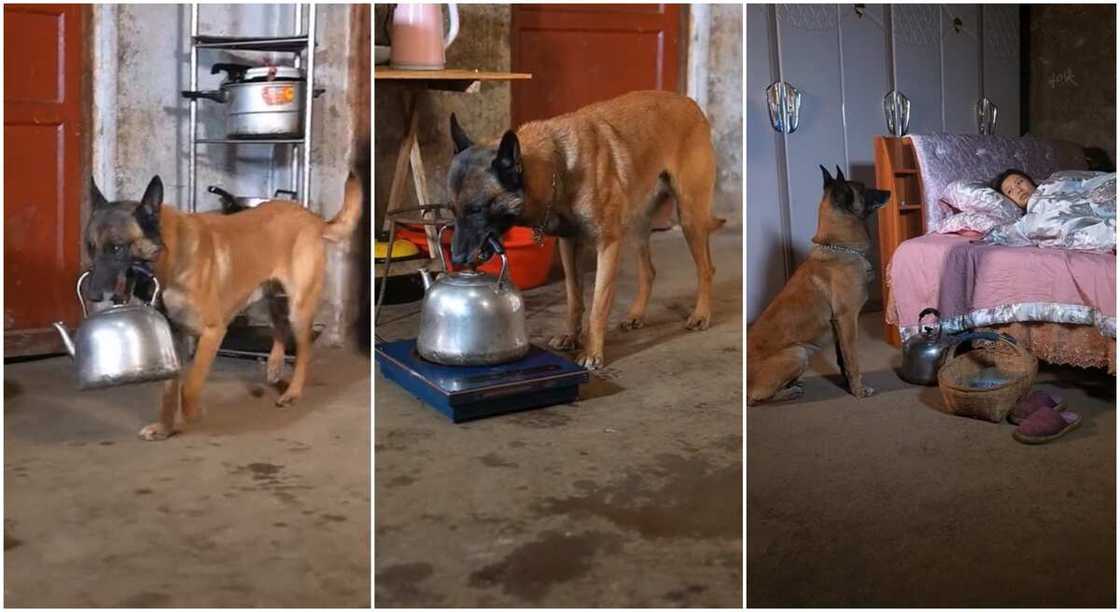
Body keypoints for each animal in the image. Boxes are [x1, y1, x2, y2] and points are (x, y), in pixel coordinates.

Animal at [86, 171, 362, 439]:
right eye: (90, 247)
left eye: (117, 248)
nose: (92, 295)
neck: (170, 256)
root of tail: (313, 217)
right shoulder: (173, 339)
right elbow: (169, 391)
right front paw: (165, 428)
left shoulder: (212, 332)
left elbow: (190, 385)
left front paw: (192, 413)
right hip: (272, 296)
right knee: (280, 327)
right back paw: (274, 365)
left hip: (299, 308)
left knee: (303, 351)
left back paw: (293, 392)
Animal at [441, 89, 721, 367]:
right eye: (452, 210)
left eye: (476, 209)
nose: (456, 258)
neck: (558, 168)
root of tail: (689, 102)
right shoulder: (568, 245)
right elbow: (574, 298)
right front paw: (571, 336)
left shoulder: (607, 246)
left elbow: (598, 305)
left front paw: (592, 352)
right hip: (636, 227)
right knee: (649, 271)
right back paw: (637, 314)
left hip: (689, 216)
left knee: (706, 269)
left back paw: (701, 314)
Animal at [743, 167, 891, 403]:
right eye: (863, 188)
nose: (889, 191)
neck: (839, 246)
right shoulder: (848, 320)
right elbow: (853, 360)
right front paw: (859, 390)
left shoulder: (839, 325)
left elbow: (843, 359)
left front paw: (848, 386)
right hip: (798, 352)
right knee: (756, 397)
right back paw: (789, 391)